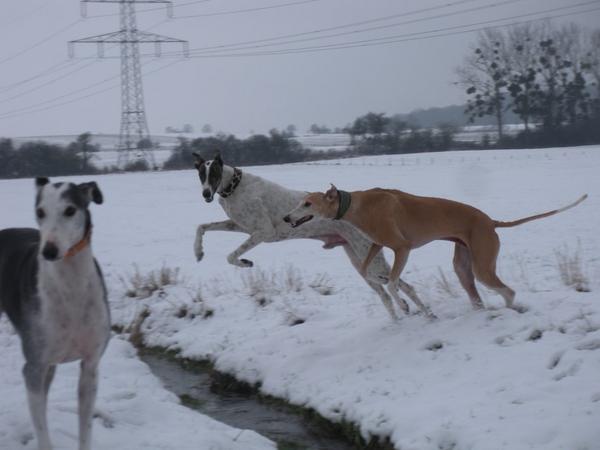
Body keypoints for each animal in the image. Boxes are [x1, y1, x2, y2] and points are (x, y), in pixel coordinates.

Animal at [0, 178, 110, 450]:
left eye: (70, 210)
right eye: (39, 212)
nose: (48, 252)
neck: (71, 288)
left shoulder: (90, 366)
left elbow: (85, 431)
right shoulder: (33, 367)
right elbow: (43, 434)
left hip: (49, 365)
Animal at [192, 154, 412, 320]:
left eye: (214, 173)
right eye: (201, 174)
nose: (206, 194)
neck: (234, 187)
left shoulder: (264, 232)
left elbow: (231, 256)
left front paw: (245, 262)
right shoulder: (240, 226)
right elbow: (201, 227)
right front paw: (198, 252)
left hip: (372, 261)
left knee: (401, 284)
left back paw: (409, 308)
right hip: (360, 263)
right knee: (386, 295)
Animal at [284, 185, 588, 318]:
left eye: (307, 204)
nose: (287, 218)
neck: (357, 205)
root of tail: (491, 221)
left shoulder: (402, 248)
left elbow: (393, 283)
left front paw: (404, 305)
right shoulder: (377, 245)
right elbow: (371, 271)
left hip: (482, 265)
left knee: (508, 291)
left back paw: (511, 309)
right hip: (463, 266)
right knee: (477, 294)